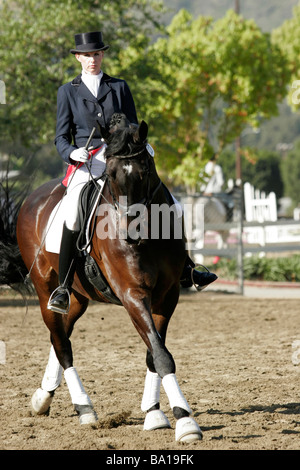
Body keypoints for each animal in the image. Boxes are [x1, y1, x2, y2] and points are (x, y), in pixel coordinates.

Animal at [3, 119, 202, 442]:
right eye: (109, 175)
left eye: (146, 169)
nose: (130, 232)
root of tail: (35, 198)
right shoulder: (132, 294)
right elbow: (161, 355)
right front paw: (185, 421)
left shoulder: (167, 295)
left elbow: (154, 352)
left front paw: (154, 413)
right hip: (45, 289)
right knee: (62, 345)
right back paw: (84, 408)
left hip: (78, 297)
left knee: (61, 335)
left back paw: (43, 397)